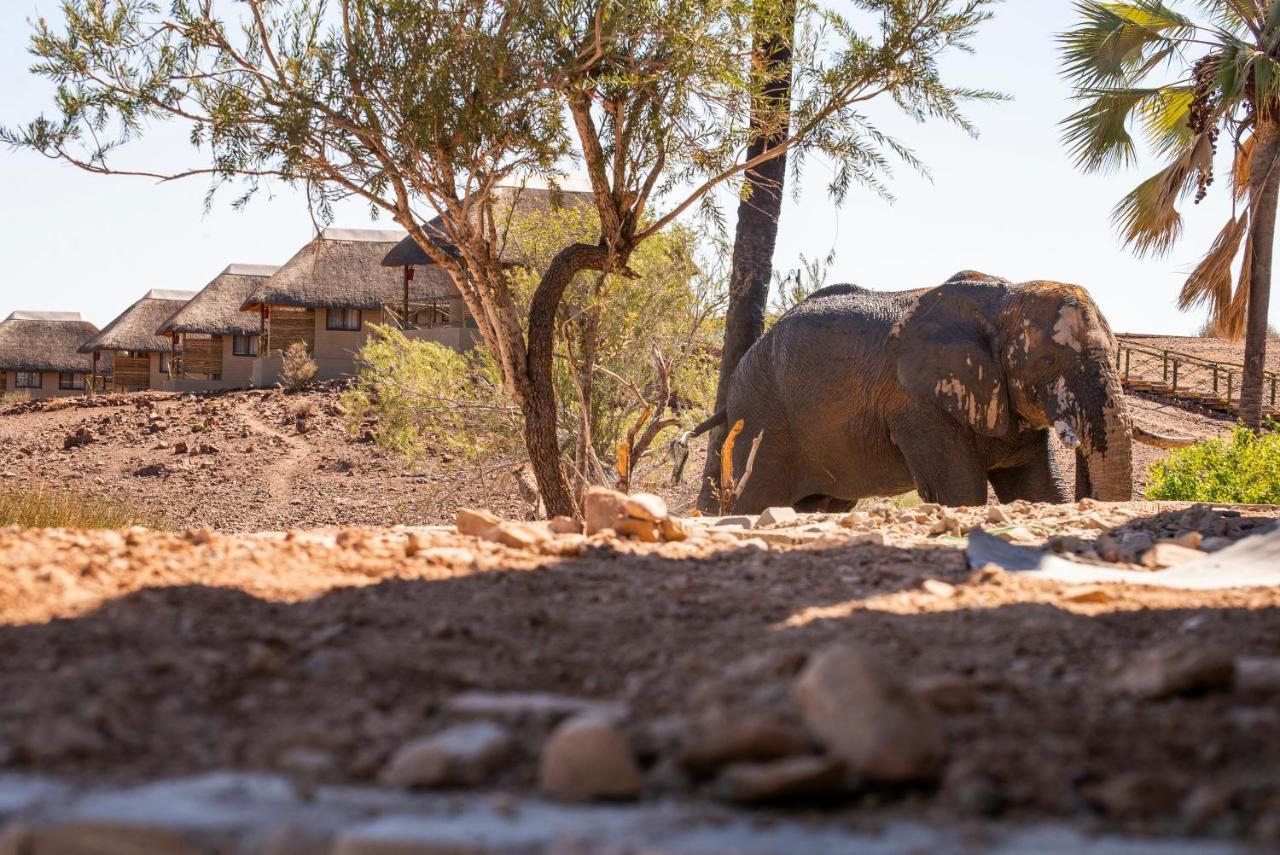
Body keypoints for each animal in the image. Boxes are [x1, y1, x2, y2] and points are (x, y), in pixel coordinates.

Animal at [686, 268, 1192, 514]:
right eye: (1048, 363)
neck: (1003, 299)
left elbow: (1037, 490)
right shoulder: (918, 405)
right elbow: (960, 492)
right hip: (763, 417)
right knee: (755, 499)